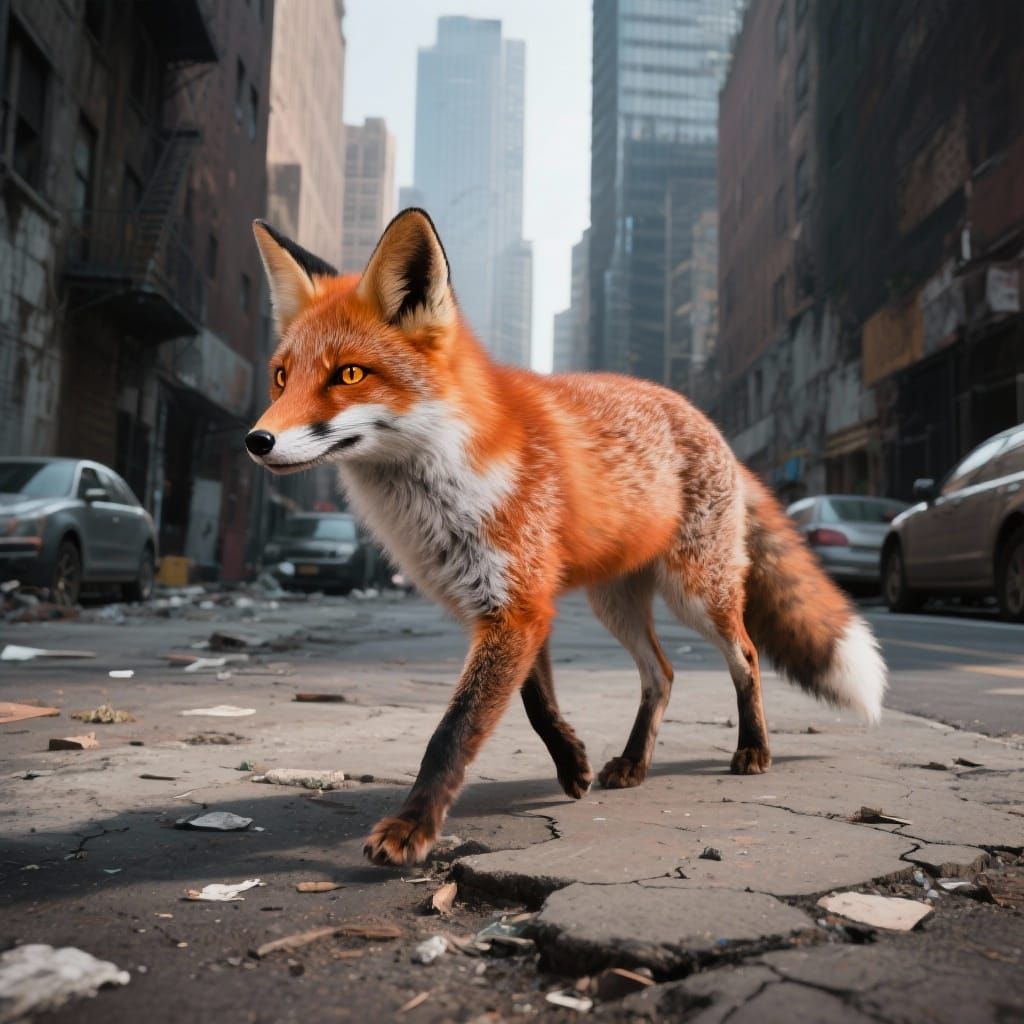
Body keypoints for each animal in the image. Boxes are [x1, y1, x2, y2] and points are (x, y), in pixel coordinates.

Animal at [245, 208, 887, 867]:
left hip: (697, 595)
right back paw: (632, 762)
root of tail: (711, 425)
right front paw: (571, 763)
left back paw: (753, 749)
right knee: (662, 674)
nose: (256, 441)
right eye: (281, 378)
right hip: (614, 603)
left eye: (348, 374)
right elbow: (536, 702)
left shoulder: (517, 603)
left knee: (748, 657)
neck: (441, 486)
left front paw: (412, 825)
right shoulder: (514, 602)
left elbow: (454, 730)